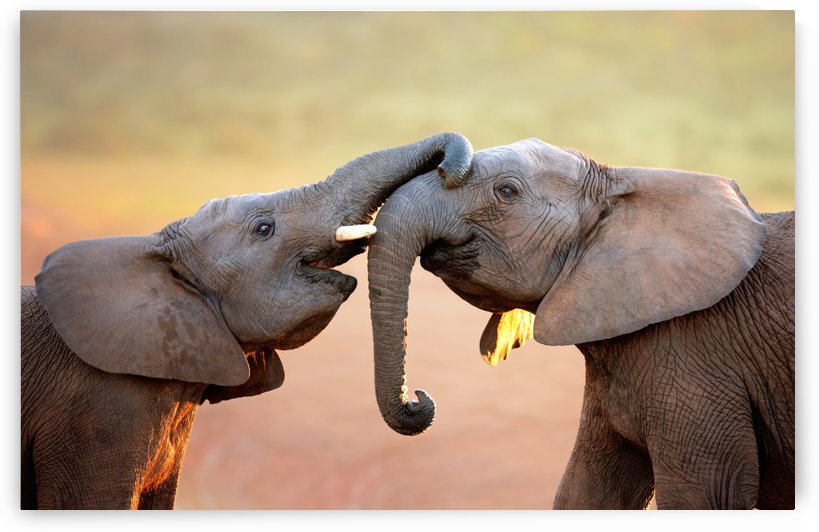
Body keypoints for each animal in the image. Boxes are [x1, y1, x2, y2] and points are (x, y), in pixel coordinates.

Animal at [365, 138, 794, 509]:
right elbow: (586, 492)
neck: (620, 184)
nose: (418, 399)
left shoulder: (695, 355)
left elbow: (706, 495)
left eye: (507, 191)